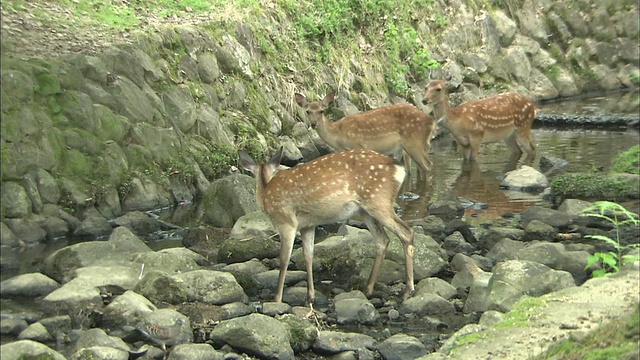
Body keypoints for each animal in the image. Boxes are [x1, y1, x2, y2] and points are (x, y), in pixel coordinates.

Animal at [239, 148, 416, 308]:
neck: (266, 190)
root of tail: (399, 168)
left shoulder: (286, 221)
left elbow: (284, 259)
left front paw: (277, 298)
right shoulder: (307, 225)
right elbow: (308, 255)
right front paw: (310, 297)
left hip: (378, 200)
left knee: (406, 232)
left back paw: (408, 291)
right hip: (366, 211)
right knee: (383, 240)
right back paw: (368, 289)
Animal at [294, 93, 436, 183]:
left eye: (321, 111)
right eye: (307, 111)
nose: (313, 124)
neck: (339, 136)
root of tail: (431, 122)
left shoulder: (359, 145)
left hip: (413, 142)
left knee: (428, 166)